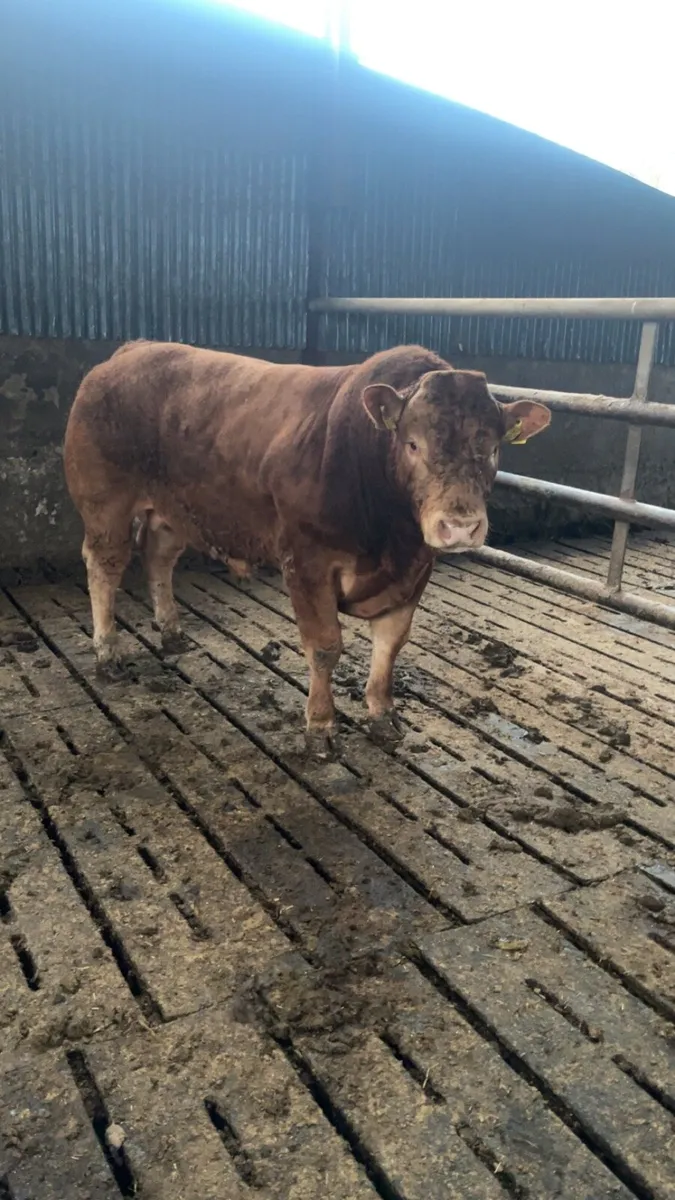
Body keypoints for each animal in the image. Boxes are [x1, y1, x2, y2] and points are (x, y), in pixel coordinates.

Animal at [64, 341, 550, 756]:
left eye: (492, 448)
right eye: (413, 444)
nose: (460, 525)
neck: (388, 538)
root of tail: (131, 351)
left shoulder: (414, 570)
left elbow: (390, 644)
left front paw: (382, 715)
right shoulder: (307, 561)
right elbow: (324, 647)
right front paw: (320, 727)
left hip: (172, 510)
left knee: (158, 557)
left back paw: (171, 632)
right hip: (104, 502)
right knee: (104, 566)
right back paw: (107, 653)